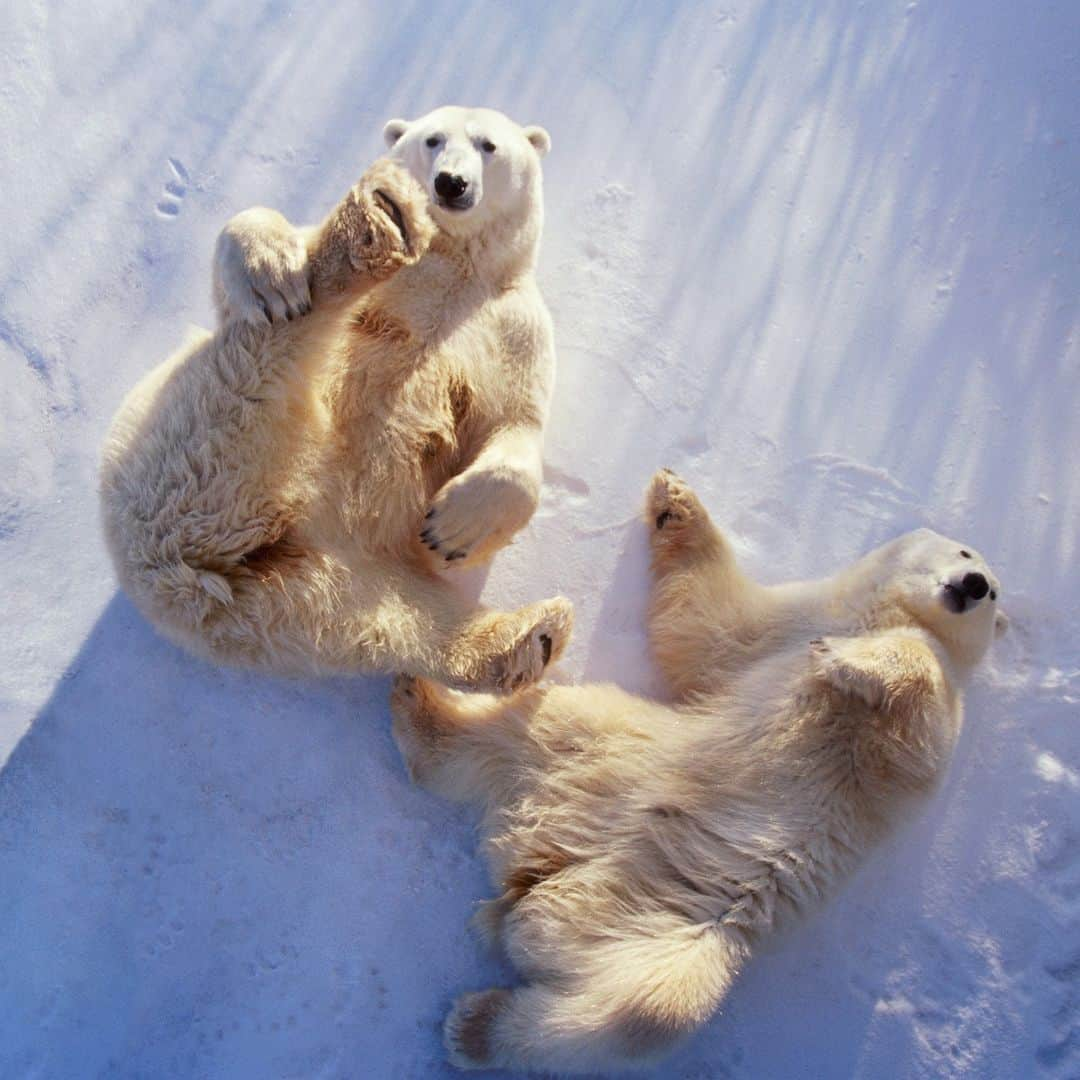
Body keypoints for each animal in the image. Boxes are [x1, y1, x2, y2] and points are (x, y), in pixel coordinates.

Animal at [101, 109, 574, 691]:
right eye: (432, 139)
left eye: (488, 145)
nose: (450, 183)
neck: (455, 263)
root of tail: (181, 584)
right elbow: (247, 256)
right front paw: (269, 270)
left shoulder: (515, 325)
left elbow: (515, 423)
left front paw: (452, 528)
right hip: (184, 441)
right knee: (259, 357)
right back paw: (378, 224)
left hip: (322, 588)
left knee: (397, 619)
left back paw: (528, 638)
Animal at [393, 470, 1006, 1071]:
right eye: (964, 550)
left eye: (995, 590)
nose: (975, 583)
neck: (878, 615)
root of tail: (534, 882)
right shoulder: (786, 626)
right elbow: (710, 627)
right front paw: (674, 498)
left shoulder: (924, 741)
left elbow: (917, 692)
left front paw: (841, 659)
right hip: (609, 755)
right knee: (525, 727)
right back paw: (421, 703)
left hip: (685, 932)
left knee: (641, 1014)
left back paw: (473, 1026)